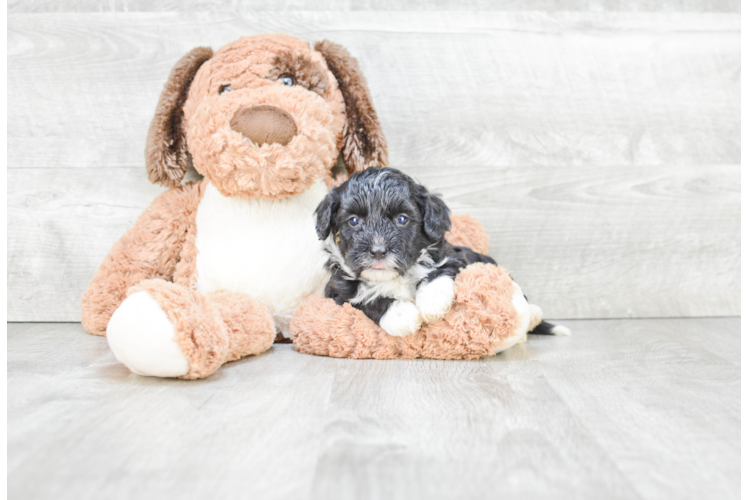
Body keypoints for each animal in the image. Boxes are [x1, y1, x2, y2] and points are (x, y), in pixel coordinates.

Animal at [312, 167, 500, 336]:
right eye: (354, 221)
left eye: (402, 219)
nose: (378, 251)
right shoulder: (337, 290)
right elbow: (365, 298)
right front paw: (401, 315)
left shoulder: (454, 256)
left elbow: (440, 268)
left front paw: (432, 301)